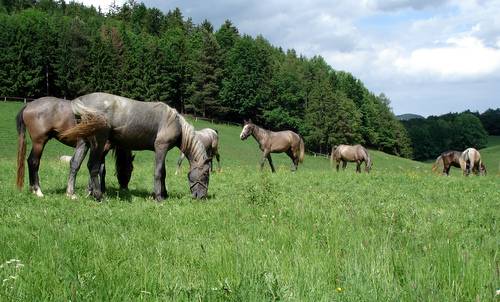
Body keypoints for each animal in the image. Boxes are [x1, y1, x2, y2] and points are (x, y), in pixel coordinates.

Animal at [59, 92, 210, 201]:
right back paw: (98, 195)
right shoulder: (161, 148)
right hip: (98, 143)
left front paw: (164, 193)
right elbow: (158, 172)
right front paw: (159, 197)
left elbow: (164, 173)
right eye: (205, 174)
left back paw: (71, 193)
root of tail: (82, 101)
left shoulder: (162, 150)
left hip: (83, 141)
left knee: (75, 164)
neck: (174, 121)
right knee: (93, 166)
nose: (201, 197)